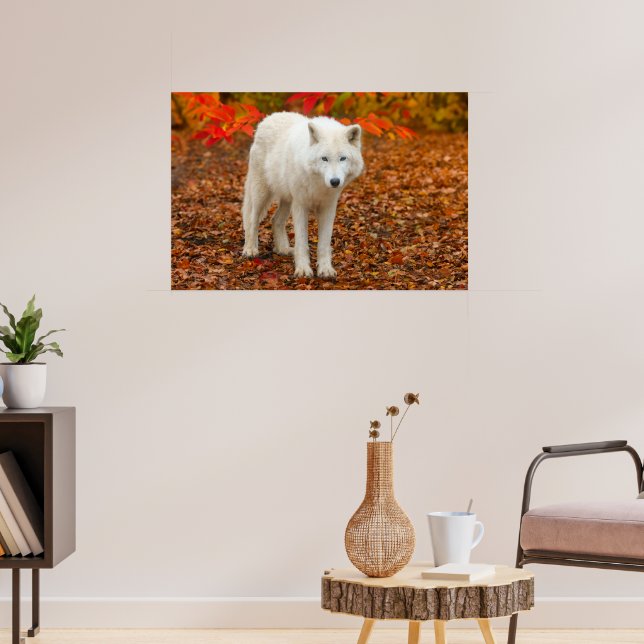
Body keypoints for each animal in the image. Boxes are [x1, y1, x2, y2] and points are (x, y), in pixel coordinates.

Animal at [242, 112, 364, 278]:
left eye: (343, 158)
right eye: (324, 158)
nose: (335, 181)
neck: (318, 185)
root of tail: (268, 118)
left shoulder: (328, 208)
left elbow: (324, 243)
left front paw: (325, 269)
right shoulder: (300, 206)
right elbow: (301, 242)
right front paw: (303, 270)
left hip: (287, 199)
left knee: (275, 220)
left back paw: (283, 249)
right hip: (261, 192)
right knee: (252, 220)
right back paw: (250, 249)